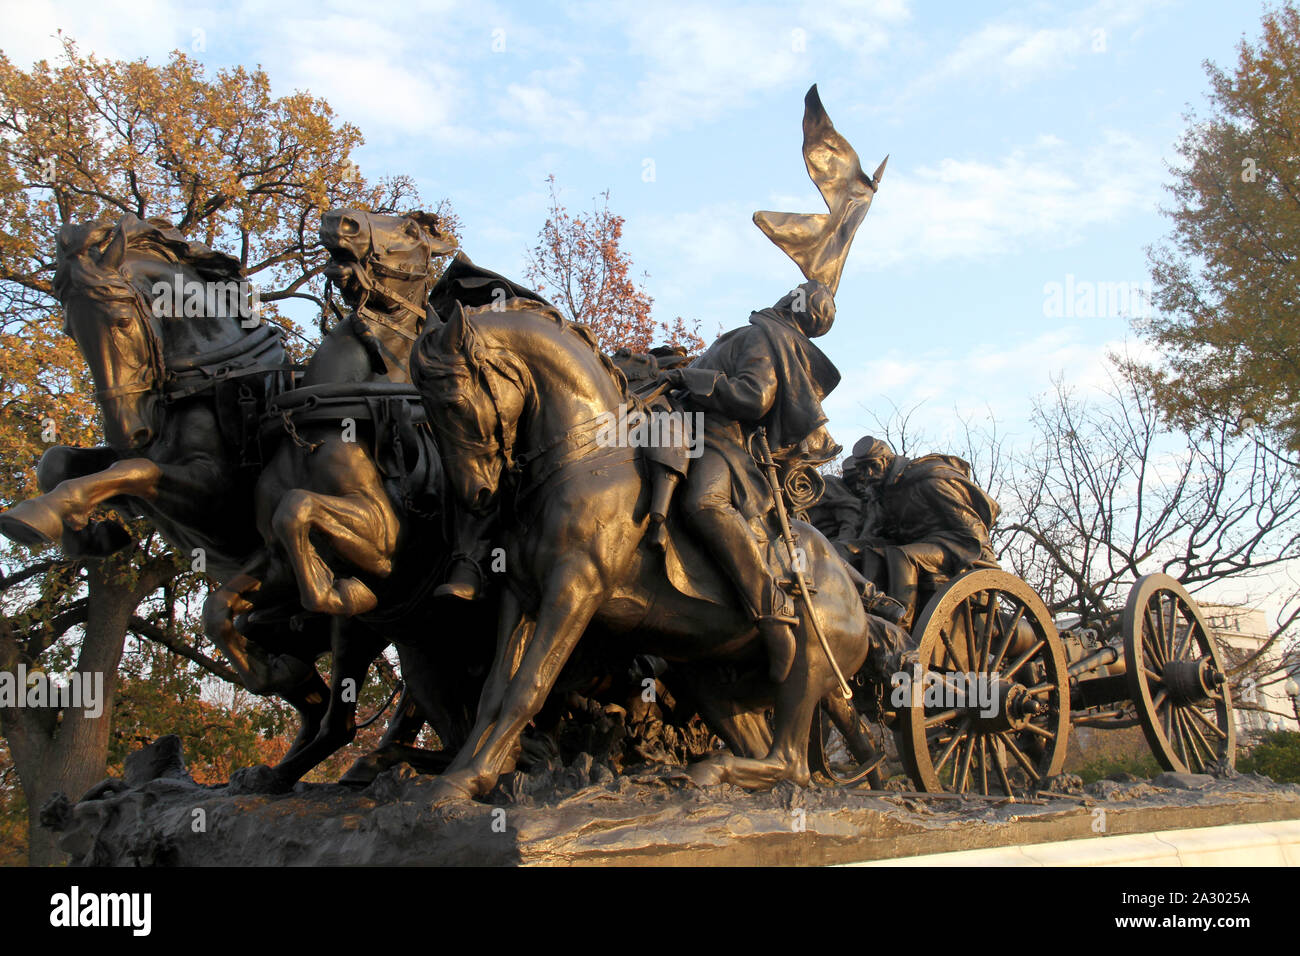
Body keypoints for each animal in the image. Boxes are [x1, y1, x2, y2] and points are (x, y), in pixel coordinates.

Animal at [410, 297, 899, 801]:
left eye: (453, 403)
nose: (478, 496)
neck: (587, 457)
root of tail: (854, 588)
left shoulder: (574, 589)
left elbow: (529, 687)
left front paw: (473, 777)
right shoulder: (520, 596)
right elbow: (493, 692)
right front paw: (462, 777)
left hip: (807, 668)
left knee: (793, 764)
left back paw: (712, 767)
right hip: (710, 682)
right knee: (769, 752)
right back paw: (700, 774)